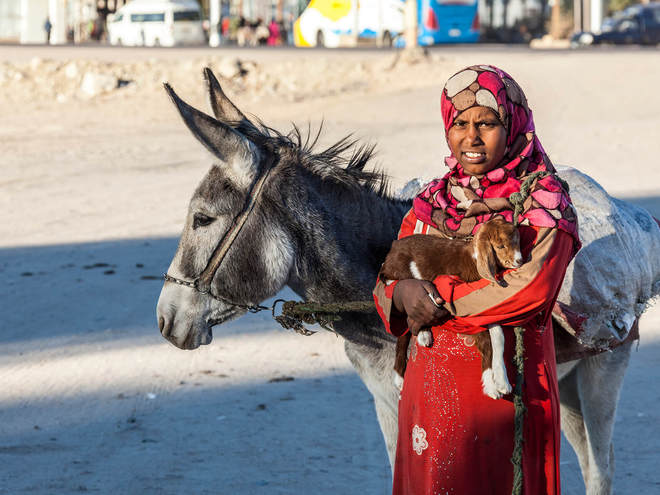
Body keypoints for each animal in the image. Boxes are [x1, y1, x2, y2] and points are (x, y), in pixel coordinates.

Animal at [378, 217, 524, 400]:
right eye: (500, 246)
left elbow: (498, 337)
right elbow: (485, 341)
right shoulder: (468, 310)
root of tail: (392, 251)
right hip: (402, 277)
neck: (473, 259)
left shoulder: (484, 310)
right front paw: (491, 387)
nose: (520, 260)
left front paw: (502, 382)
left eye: (517, 241)